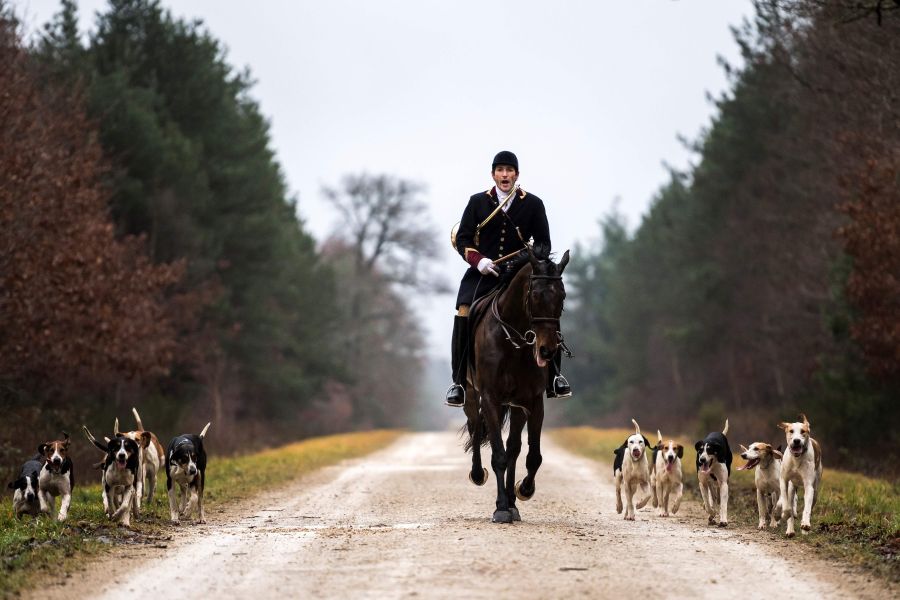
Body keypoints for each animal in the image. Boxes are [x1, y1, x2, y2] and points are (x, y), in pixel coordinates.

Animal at [464, 251, 568, 524]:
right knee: (476, 428)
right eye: (535, 295)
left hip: (515, 406)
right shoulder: (490, 398)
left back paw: (512, 502)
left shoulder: (532, 401)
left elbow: (531, 456)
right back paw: (478, 474)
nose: (547, 350)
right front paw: (500, 508)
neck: (515, 341)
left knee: (513, 448)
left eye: (562, 296)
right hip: (472, 395)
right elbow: (498, 455)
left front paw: (523, 491)